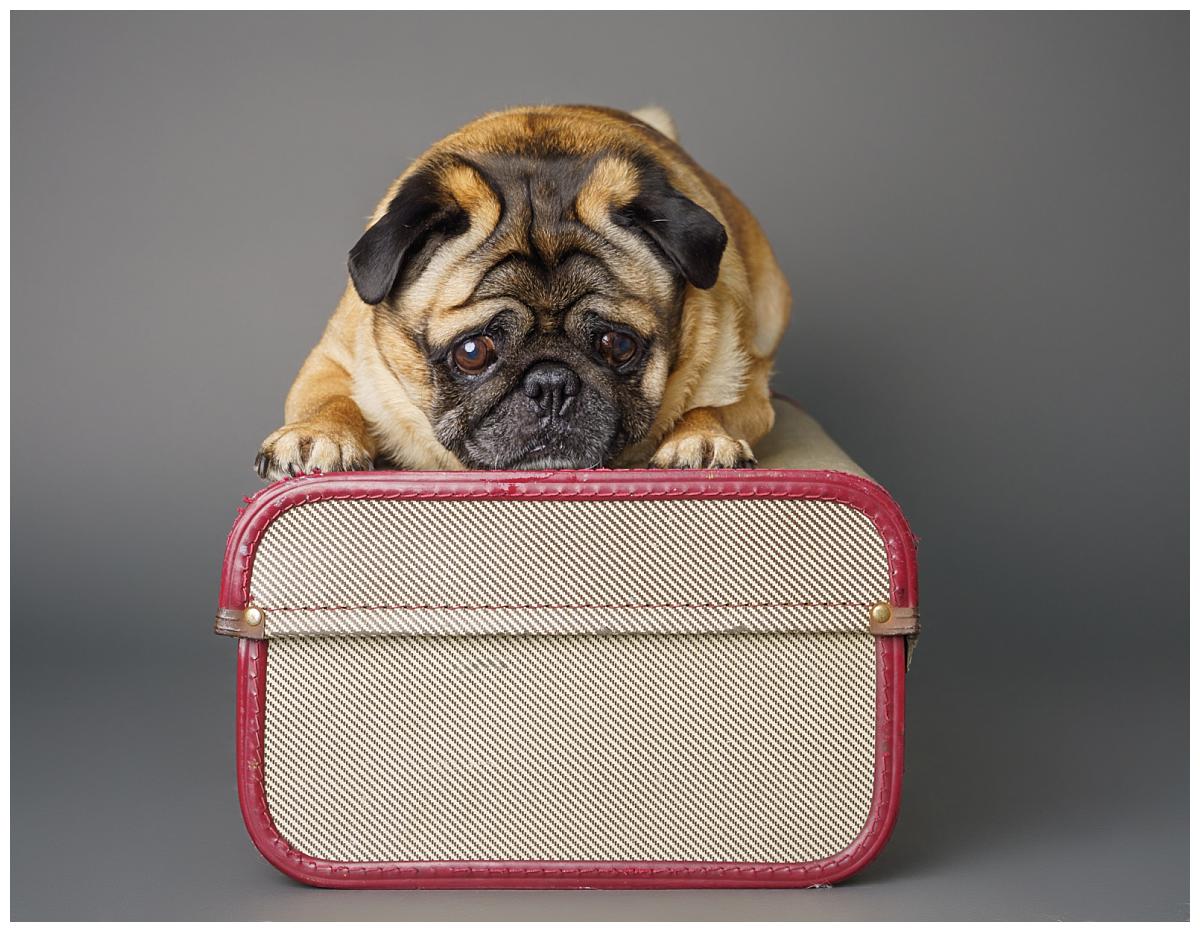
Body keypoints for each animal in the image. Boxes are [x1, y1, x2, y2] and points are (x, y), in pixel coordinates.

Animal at [255, 105, 787, 477]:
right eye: (472, 352)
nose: (550, 384)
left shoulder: (747, 387)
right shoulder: (331, 360)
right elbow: (330, 399)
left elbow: (711, 406)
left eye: (617, 345)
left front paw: (703, 438)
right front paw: (316, 436)